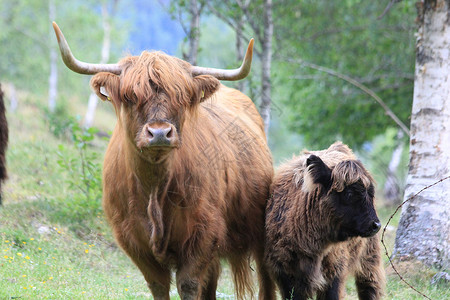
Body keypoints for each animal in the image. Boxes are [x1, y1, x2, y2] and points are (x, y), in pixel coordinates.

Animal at [266, 142, 384, 300]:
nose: (376, 225)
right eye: (349, 193)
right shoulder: (283, 272)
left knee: (370, 285)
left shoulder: (334, 272)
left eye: (371, 193)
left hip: (370, 255)